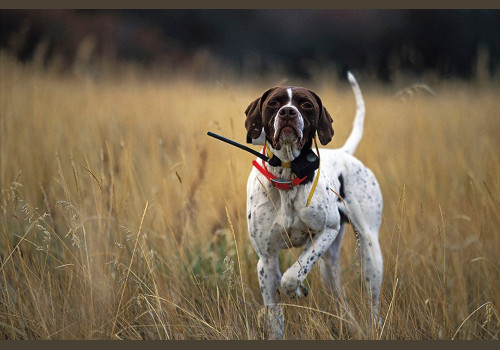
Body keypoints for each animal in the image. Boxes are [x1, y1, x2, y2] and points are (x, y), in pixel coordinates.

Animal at [245, 73, 382, 340]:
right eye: (274, 102)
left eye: (306, 104)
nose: (288, 112)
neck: (288, 175)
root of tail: (344, 152)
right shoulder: (265, 259)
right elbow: (275, 312)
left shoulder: (328, 229)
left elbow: (292, 274)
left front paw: (296, 289)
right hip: (329, 270)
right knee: (340, 299)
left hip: (370, 252)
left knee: (373, 303)